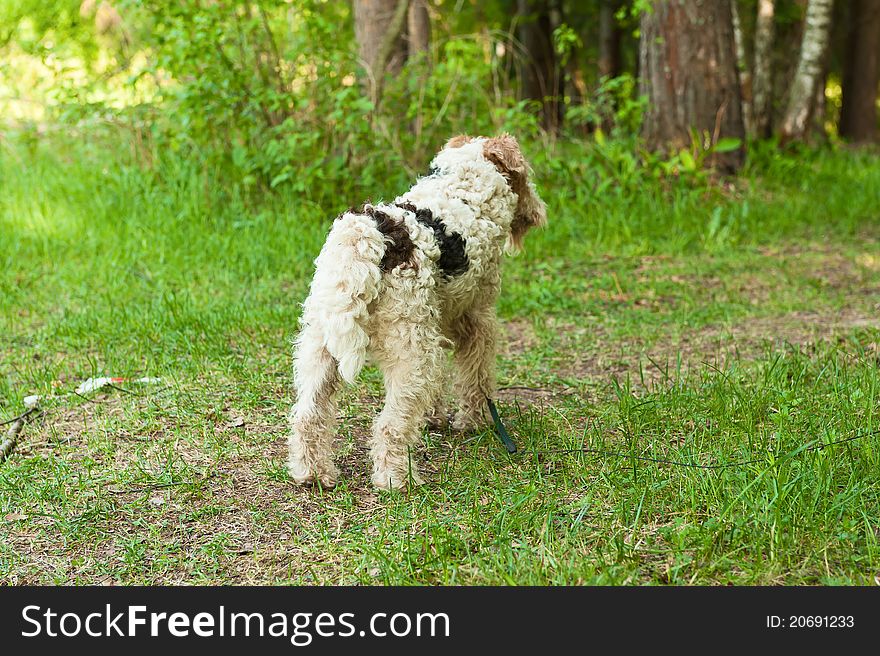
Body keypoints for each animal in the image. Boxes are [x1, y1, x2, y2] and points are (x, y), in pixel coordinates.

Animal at [288, 136, 548, 490]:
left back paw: (313, 473)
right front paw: (473, 421)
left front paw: (433, 417)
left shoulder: (437, 321)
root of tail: (365, 237)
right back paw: (397, 479)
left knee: (308, 415)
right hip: (410, 351)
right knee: (389, 424)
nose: (537, 214)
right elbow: (477, 376)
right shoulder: (476, 319)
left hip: (322, 343)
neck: (465, 187)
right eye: (524, 175)